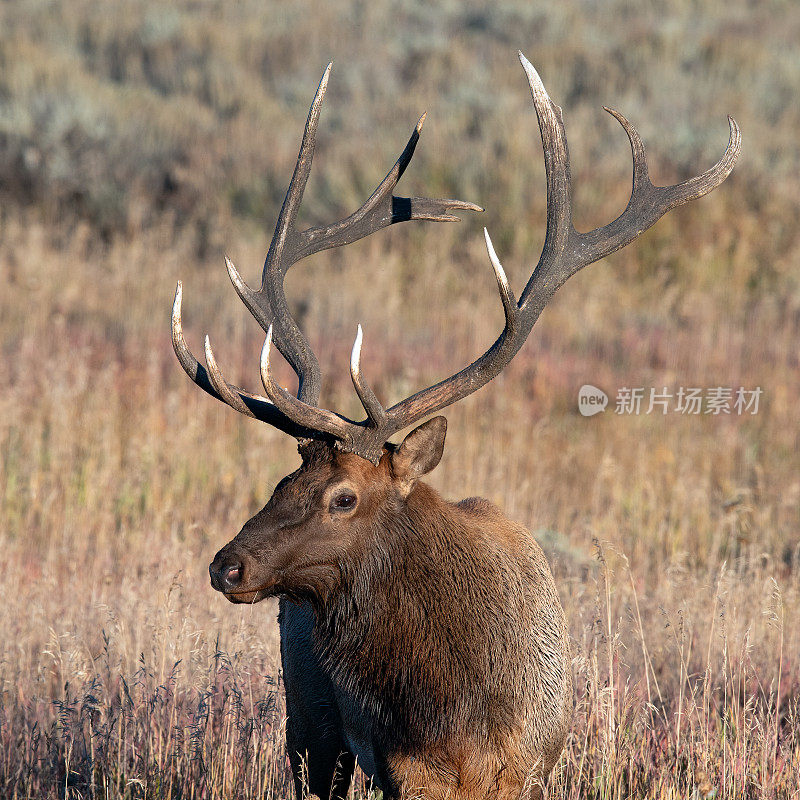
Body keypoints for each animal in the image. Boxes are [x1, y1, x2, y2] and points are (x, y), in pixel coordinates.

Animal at [172, 53, 740, 796]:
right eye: (282, 481)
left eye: (343, 497)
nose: (227, 565)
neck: (459, 710)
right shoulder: (403, 769)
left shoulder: (527, 766)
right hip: (311, 725)